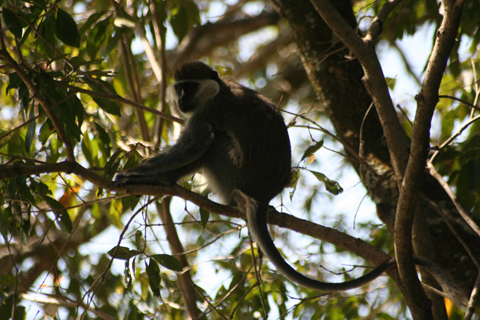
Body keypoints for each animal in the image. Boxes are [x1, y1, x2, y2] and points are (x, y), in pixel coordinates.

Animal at [114, 60, 396, 292]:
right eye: (180, 87)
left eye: (190, 87)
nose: (182, 99)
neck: (219, 89)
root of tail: (263, 194)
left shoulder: (208, 111)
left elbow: (194, 146)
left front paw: (133, 173)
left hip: (231, 175)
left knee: (212, 144)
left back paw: (161, 181)